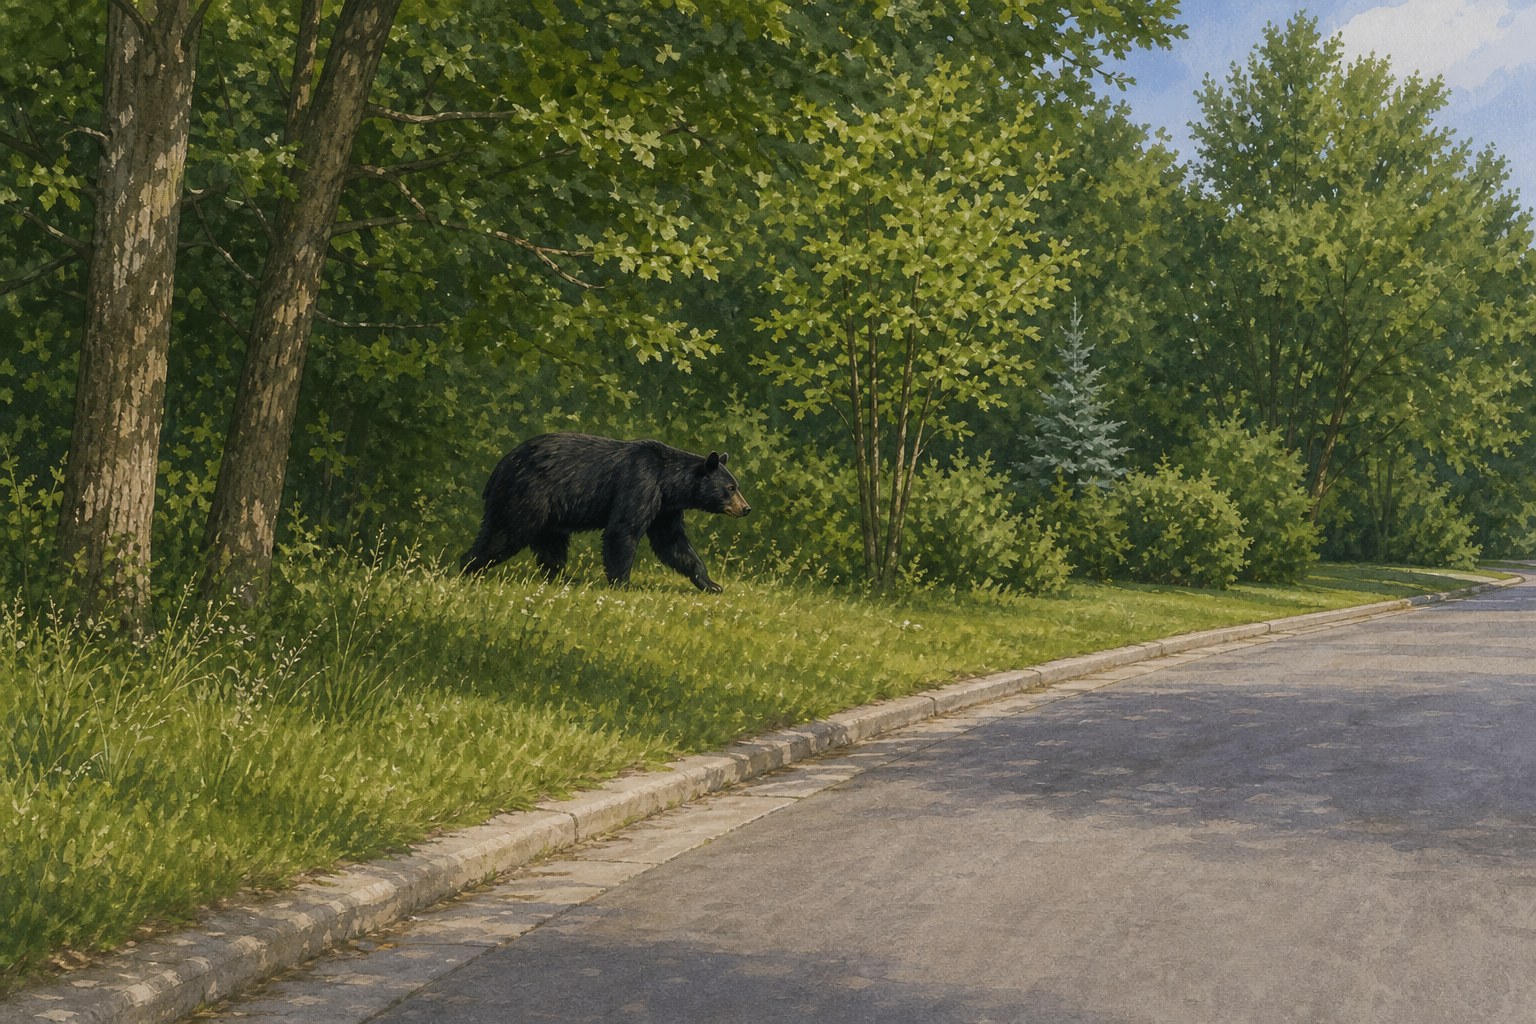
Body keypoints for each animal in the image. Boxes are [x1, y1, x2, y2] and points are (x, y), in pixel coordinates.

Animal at [459, 432, 751, 592]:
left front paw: (711, 584)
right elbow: (622, 530)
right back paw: (468, 569)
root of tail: (499, 468)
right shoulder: (640, 484)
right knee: (504, 534)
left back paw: (562, 579)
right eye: (730, 488)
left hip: (550, 513)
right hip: (526, 497)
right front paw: (623, 584)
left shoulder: (664, 508)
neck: (668, 480)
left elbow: (673, 543)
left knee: (550, 546)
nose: (746, 508)